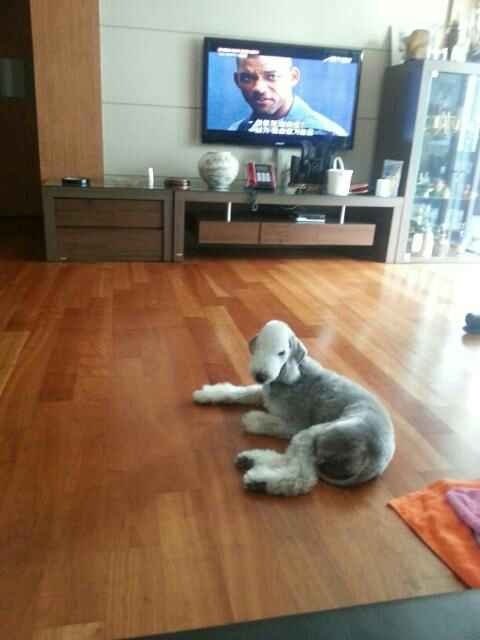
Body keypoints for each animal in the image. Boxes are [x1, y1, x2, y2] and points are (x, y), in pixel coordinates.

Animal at [193, 320, 395, 496]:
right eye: (259, 346)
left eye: (282, 352)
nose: (261, 376)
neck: (291, 375)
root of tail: (374, 463)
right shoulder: (264, 395)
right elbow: (237, 392)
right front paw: (206, 394)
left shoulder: (295, 424)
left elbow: (267, 421)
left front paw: (252, 419)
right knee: (290, 460)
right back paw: (250, 460)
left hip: (320, 433)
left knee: (302, 476)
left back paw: (259, 481)